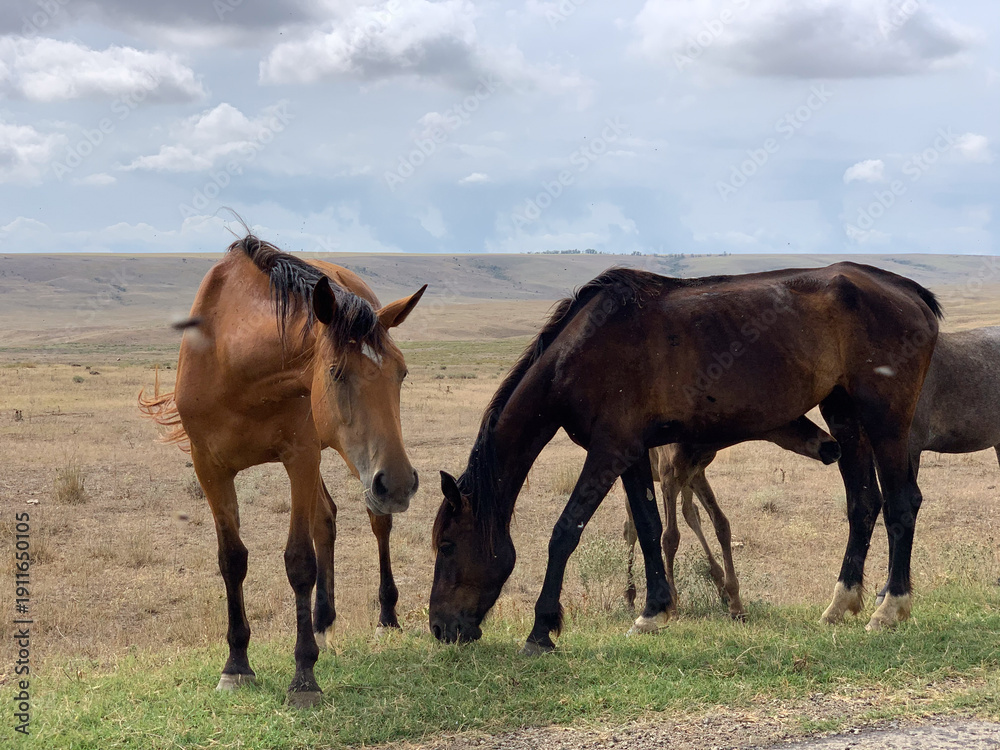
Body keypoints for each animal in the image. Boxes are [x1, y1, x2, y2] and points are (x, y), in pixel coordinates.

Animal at [139, 235, 425, 706]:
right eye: (336, 372)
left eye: (401, 373)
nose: (400, 484)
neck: (234, 365)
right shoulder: (209, 467)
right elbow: (232, 559)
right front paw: (236, 665)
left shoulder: (301, 457)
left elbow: (299, 562)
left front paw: (304, 676)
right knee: (326, 519)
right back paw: (323, 622)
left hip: (352, 464)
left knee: (375, 521)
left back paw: (386, 617)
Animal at [623, 416, 841, 620]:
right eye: (795, 418)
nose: (833, 447)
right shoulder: (668, 476)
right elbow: (670, 537)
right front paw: (673, 607)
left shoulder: (695, 473)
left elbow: (721, 524)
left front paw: (736, 604)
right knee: (631, 527)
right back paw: (629, 595)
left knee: (689, 511)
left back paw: (718, 583)